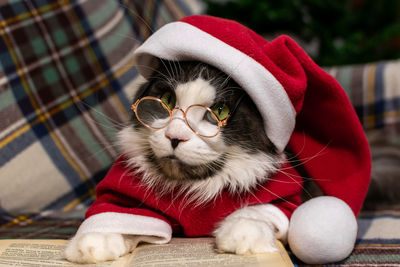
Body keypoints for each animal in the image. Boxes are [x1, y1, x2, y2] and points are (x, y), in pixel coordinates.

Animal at [64, 60, 292, 264]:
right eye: (167, 99)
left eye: (220, 111)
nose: (175, 136)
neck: (190, 191)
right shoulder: (124, 195)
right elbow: (118, 214)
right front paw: (93, 242)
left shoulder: (281, 195)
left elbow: (256, 210)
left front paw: (244, 232)